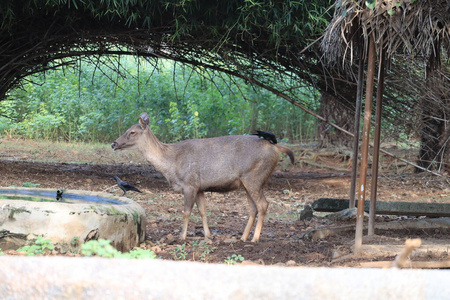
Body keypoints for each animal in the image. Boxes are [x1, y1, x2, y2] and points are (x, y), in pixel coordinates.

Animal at [111, 112, 296, 241]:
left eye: (132, 132)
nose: (114, 143)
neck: (171, 163)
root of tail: (276, 148)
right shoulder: (200, 187)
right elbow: (202, 210)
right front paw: (208, 235)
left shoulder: (190, 183)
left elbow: (186, 211)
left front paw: (182, 236)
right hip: (247, 182)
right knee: (253, 208)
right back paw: (243, 237)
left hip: (254, 177)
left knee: (263, 204)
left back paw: (255, 238)